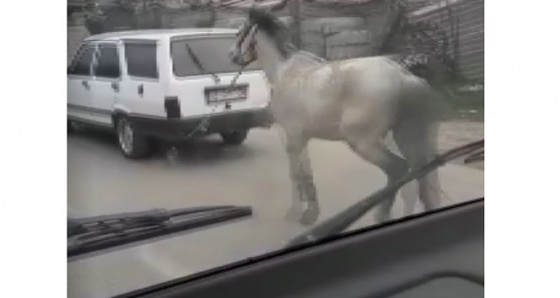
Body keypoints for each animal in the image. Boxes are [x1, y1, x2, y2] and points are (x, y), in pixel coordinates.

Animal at [228, 6, 442, 226]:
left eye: (239, 33)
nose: (233, 56)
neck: (284, 73)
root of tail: (402, 75)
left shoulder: (292, 137)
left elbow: (296, 174)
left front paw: (296, 213)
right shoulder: (302, 138)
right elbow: (307, 173)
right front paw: (311, 213)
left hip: (364, 142)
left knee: (399, 169)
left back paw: (380, 214)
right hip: (407, 138)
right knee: (418, 179)